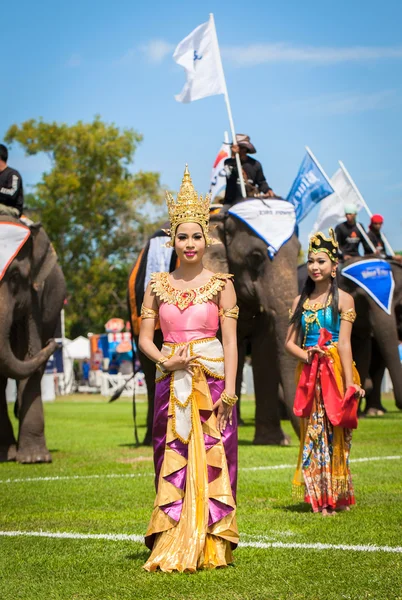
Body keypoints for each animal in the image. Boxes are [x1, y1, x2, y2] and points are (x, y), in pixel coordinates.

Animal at [129, 205, 302, 446]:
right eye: (255, 256)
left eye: (299, 253)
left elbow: (261, 346)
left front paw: (274, 441)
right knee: (147, 362)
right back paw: (149, 441)